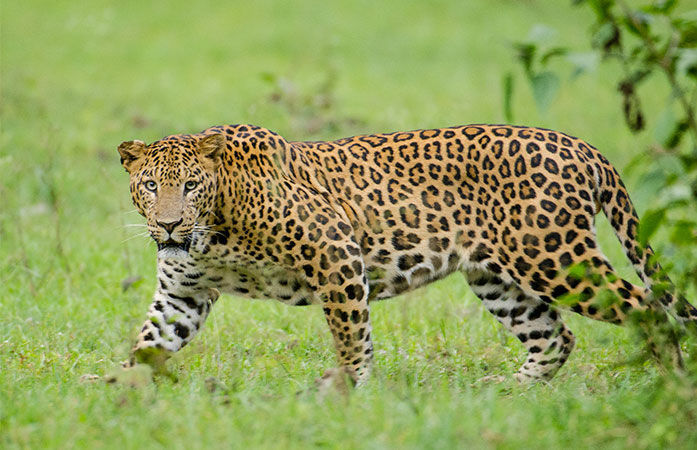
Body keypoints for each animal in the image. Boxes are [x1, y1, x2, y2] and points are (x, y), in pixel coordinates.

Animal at [118, 123, 697, 385]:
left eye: (191, 185)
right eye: (150, 185)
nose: (169, 224)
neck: (213, 231)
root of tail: (583, 146)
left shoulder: (336, 251)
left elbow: (351, 335)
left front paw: (347, 391)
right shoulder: (183, 293)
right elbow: (149, 341)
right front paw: (115, 393)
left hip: (553, 258)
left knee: (648, 308)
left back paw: (671, 385)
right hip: (497, 278)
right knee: (555, 336)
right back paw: (509, 392)